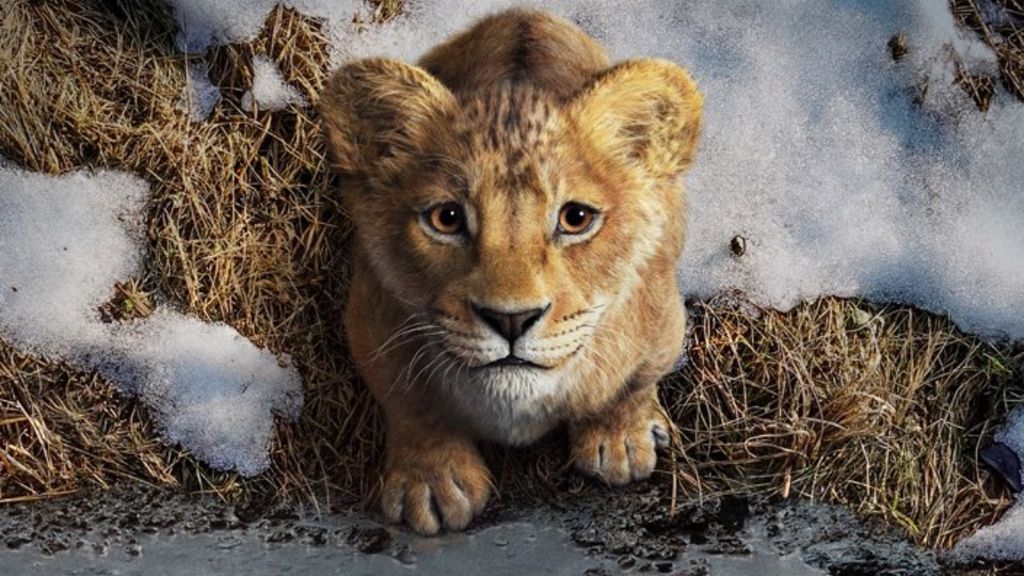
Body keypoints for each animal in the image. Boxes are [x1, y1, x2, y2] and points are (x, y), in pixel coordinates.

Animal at [320, 8, 702, 534]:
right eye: (446, 218)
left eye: (576, 218)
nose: (511, 319)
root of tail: (525, 13)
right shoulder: (371, 318)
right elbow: (411, 403)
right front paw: (431, 482)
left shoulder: (662, 318)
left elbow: (632, 382)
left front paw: (621, 439)